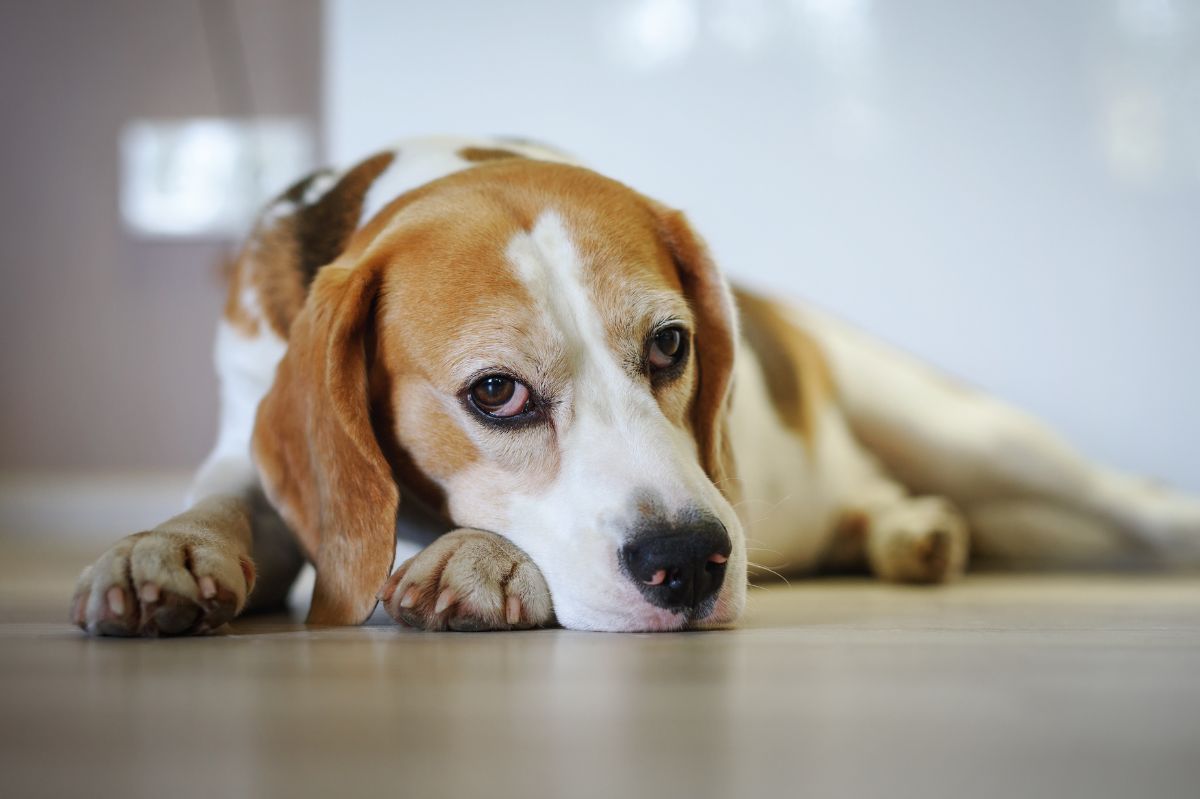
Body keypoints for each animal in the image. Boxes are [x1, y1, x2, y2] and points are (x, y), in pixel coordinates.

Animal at [72, 138, 1200, 633]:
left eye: (668, 345)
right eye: (495, 394)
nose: (692, 562)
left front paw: (475, 556)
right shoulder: (249, 432)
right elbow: (227, 502)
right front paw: (161, 550)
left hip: (967, 428)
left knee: (1130, 498)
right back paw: (903, 533)